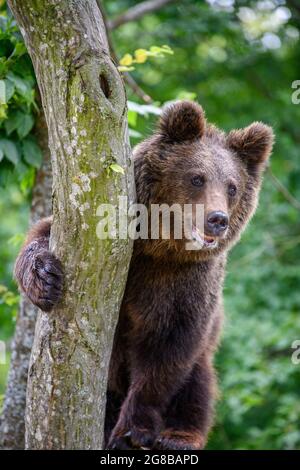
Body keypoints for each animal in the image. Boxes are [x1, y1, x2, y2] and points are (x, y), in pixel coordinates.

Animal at [14, 101, 274, 450]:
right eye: (197, 178)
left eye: (232, 187)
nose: (217, 219)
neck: (160, 246)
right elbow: (40, 237)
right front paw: (46, 278)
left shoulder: (186, 283)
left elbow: (166, 351)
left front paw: (132, 433)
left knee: (198, 382)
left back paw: (178, 437)